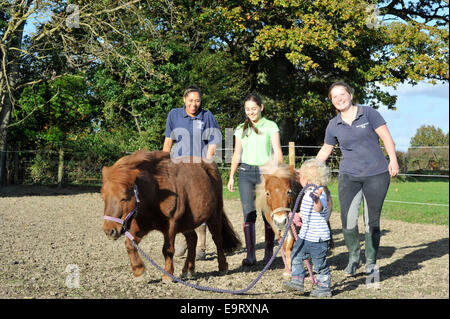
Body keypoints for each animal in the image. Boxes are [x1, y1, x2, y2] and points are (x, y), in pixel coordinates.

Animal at [101, 151, 241, 282]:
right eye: (103, 197)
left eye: (124, 198)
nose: (109, 231)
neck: (157, 192)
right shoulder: (141, 224)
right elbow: (130, 244)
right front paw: (139, 272)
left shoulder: (171, 225)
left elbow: (167, 249)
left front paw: (167, 274)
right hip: (187, 222)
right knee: (192, 239)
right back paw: (188, 269)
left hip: (214, 215)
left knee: (217, 239)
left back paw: (222, 267)